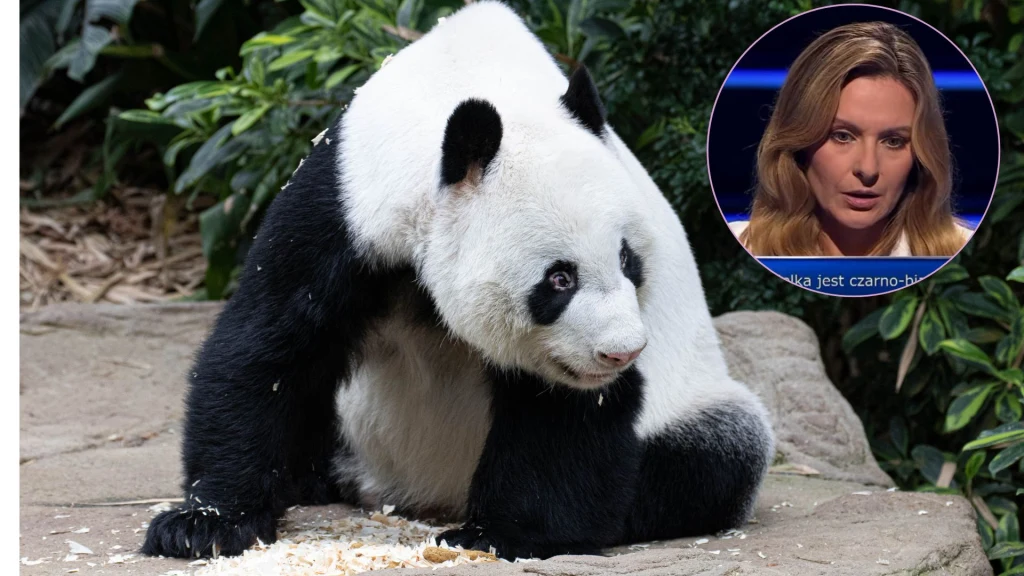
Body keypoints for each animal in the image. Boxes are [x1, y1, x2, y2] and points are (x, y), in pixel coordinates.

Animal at [142, 0, 774, 562]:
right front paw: (204, 524)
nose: (620, 353)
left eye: (629, 261)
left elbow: (563, 412)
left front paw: (500, 534)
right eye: (559, 279)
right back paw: (318, 478)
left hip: (694, 398)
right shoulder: (341, 206)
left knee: (717, 455)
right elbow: (270, 348)